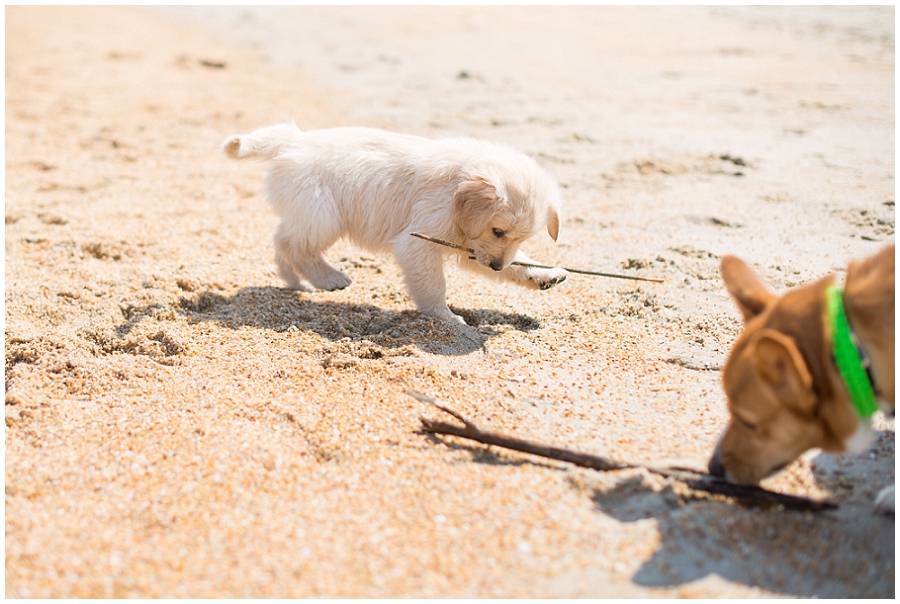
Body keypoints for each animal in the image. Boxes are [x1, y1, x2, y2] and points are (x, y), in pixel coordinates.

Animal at [221, 120, 568, 324]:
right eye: (497, 230)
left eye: (521, 238)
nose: (495, 267)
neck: (459, 185)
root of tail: (292, 141)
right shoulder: (420, 242)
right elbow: (434, 286)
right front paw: (446, 318)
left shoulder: (470, 247)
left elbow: (519, 262)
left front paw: (543, 275)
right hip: (324, 216)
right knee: (294, 246)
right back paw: (329, 278)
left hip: (308, 214)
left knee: (282, 240)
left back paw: (297, 283)